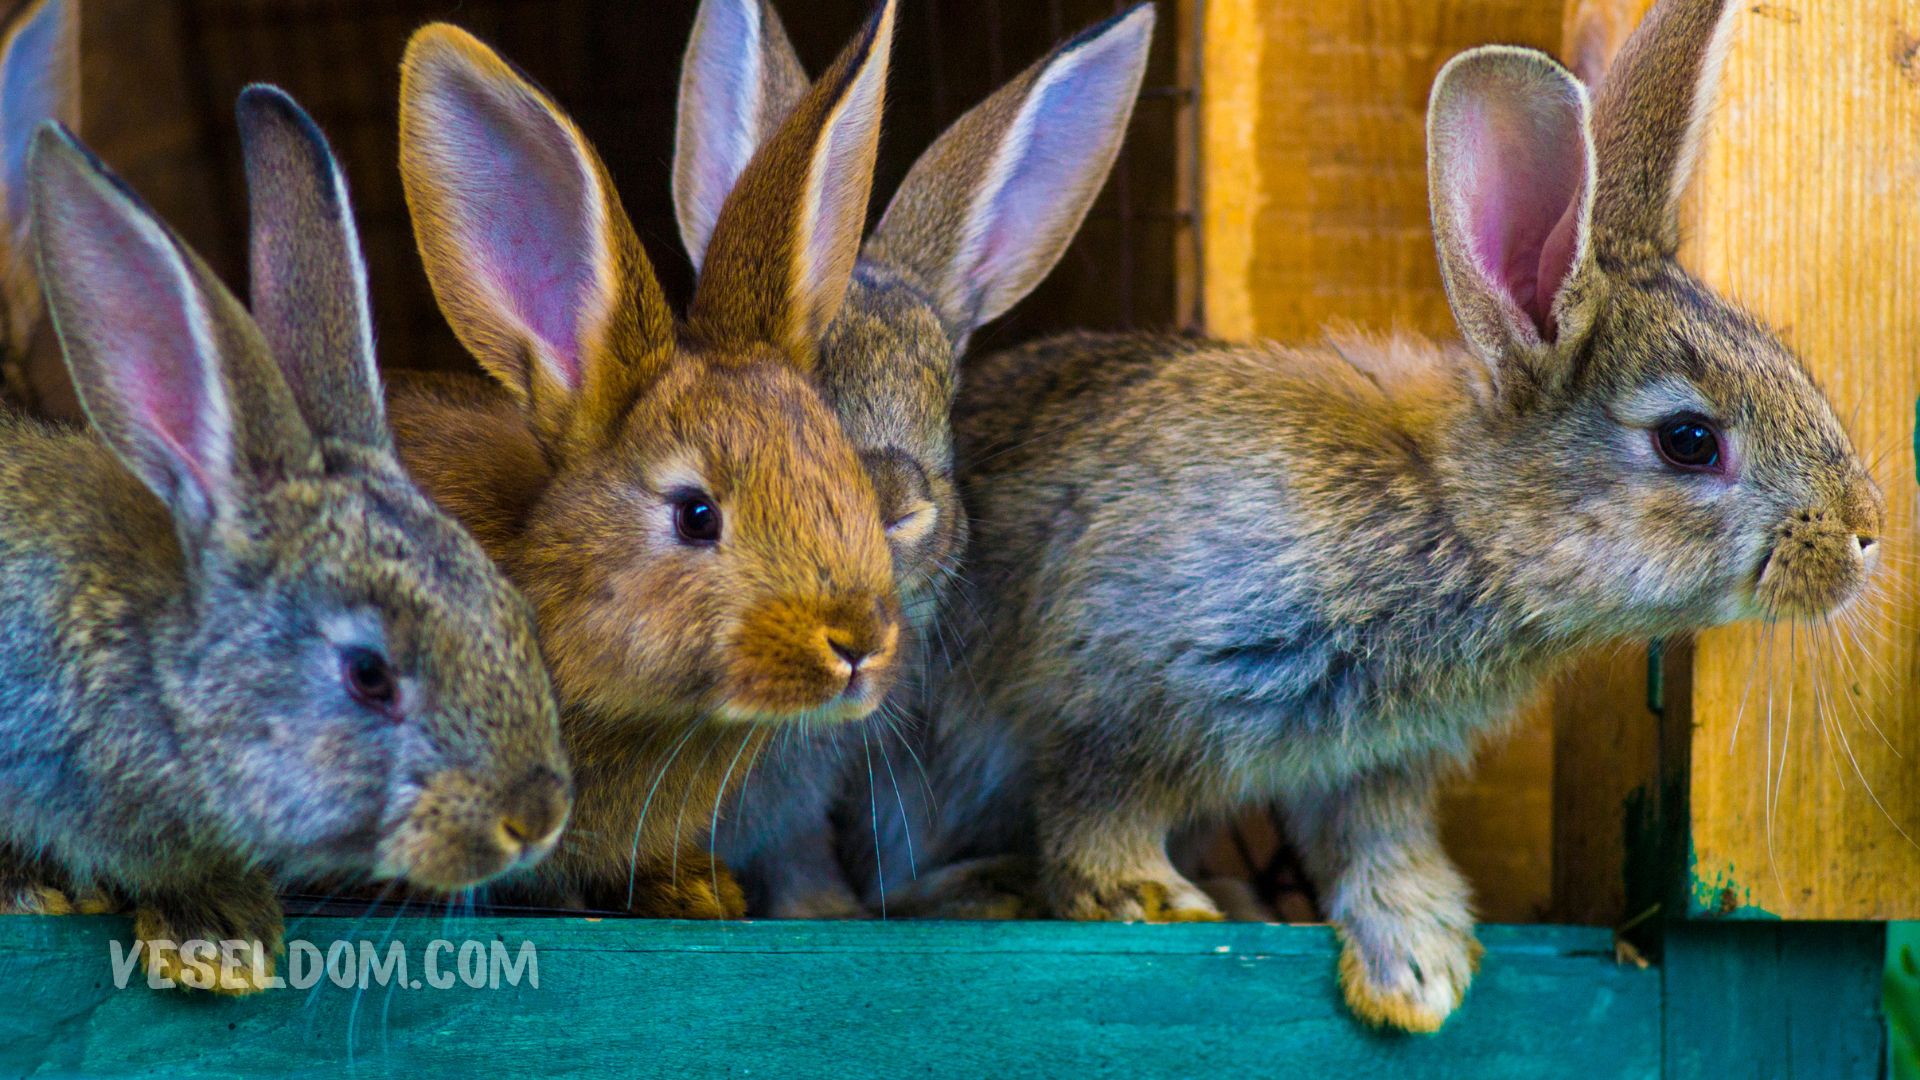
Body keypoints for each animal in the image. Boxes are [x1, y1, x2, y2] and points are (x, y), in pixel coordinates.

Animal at [863, 0, 1884, 1032]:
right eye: (1688, 440)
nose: (1862, 534)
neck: (1459, 518)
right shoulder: (1122, 689)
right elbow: (1096, 803)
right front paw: (1147, 900)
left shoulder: (1371, 761)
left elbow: (1377, 840)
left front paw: (1420, 965)